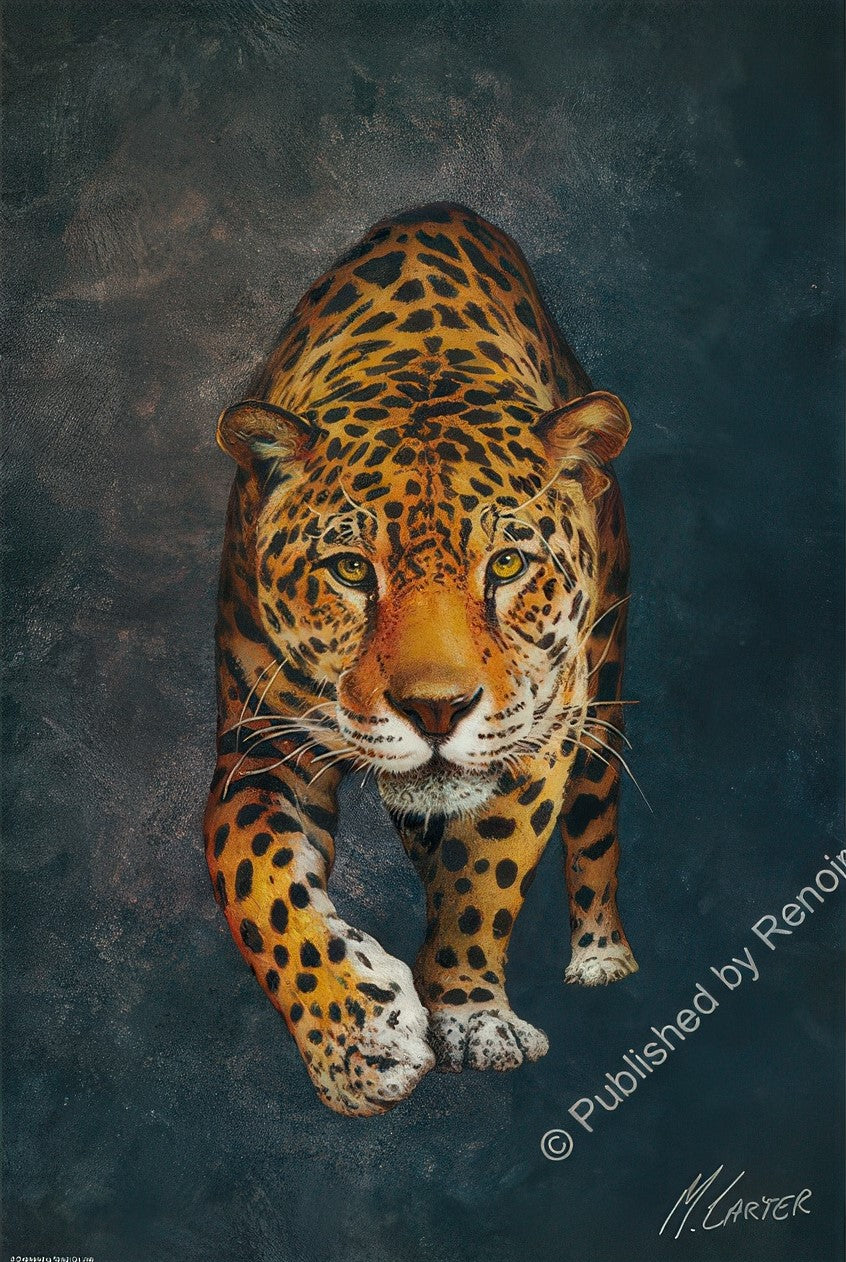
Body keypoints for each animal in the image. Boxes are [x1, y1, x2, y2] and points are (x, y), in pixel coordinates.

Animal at [204, 202, 638, 1117]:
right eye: (350, 570)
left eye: (506, 565)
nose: (436, 709)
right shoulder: (258, 748)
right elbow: (261, 886)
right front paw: (359, 1042)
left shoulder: (540, 739)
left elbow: (485, 878)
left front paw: (470, 1014)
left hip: (606, 694)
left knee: (595, 821)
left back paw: (601, 955)